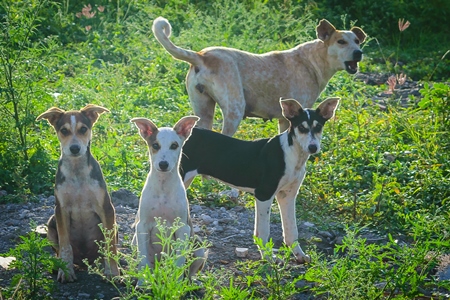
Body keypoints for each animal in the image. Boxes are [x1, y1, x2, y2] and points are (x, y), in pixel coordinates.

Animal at [36, 104, 118, 282]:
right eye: (64, 130)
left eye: (83, 129)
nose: (74, 148)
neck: (77, 172)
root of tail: (84, 261)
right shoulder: (60, 210)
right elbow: (65, 245)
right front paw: (65, 271)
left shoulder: (106, 208)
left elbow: (110, 245)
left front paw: (113, 272)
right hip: (50, 223)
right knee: (59, 250)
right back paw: (57, 265)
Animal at [131, 115, 207, 284]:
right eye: (155, 145)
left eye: (174, 145)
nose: (163, 164)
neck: (163, 187)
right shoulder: (142, 226)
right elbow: (143, 258)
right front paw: (142, 283)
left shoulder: (183, 228)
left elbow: (179, 261)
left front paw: (176, 284)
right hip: (134, 240)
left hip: (199, 246)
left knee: (190, 271)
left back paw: (192, 282)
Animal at [153, 16, 364, 136]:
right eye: (341, 41)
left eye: (357, 41)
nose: (359, 53)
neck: (313, 61)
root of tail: (202, 55)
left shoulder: (283, 120)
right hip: (234, 110)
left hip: (203, 111)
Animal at [179, 96, 338, 262]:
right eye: (301, 127)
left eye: (318, 127)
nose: (313, 147)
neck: (292, 153)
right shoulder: (264, 194)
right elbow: (263, 231)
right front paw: (269, 257)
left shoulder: (288, 196)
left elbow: (291, 230)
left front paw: (299, 255)